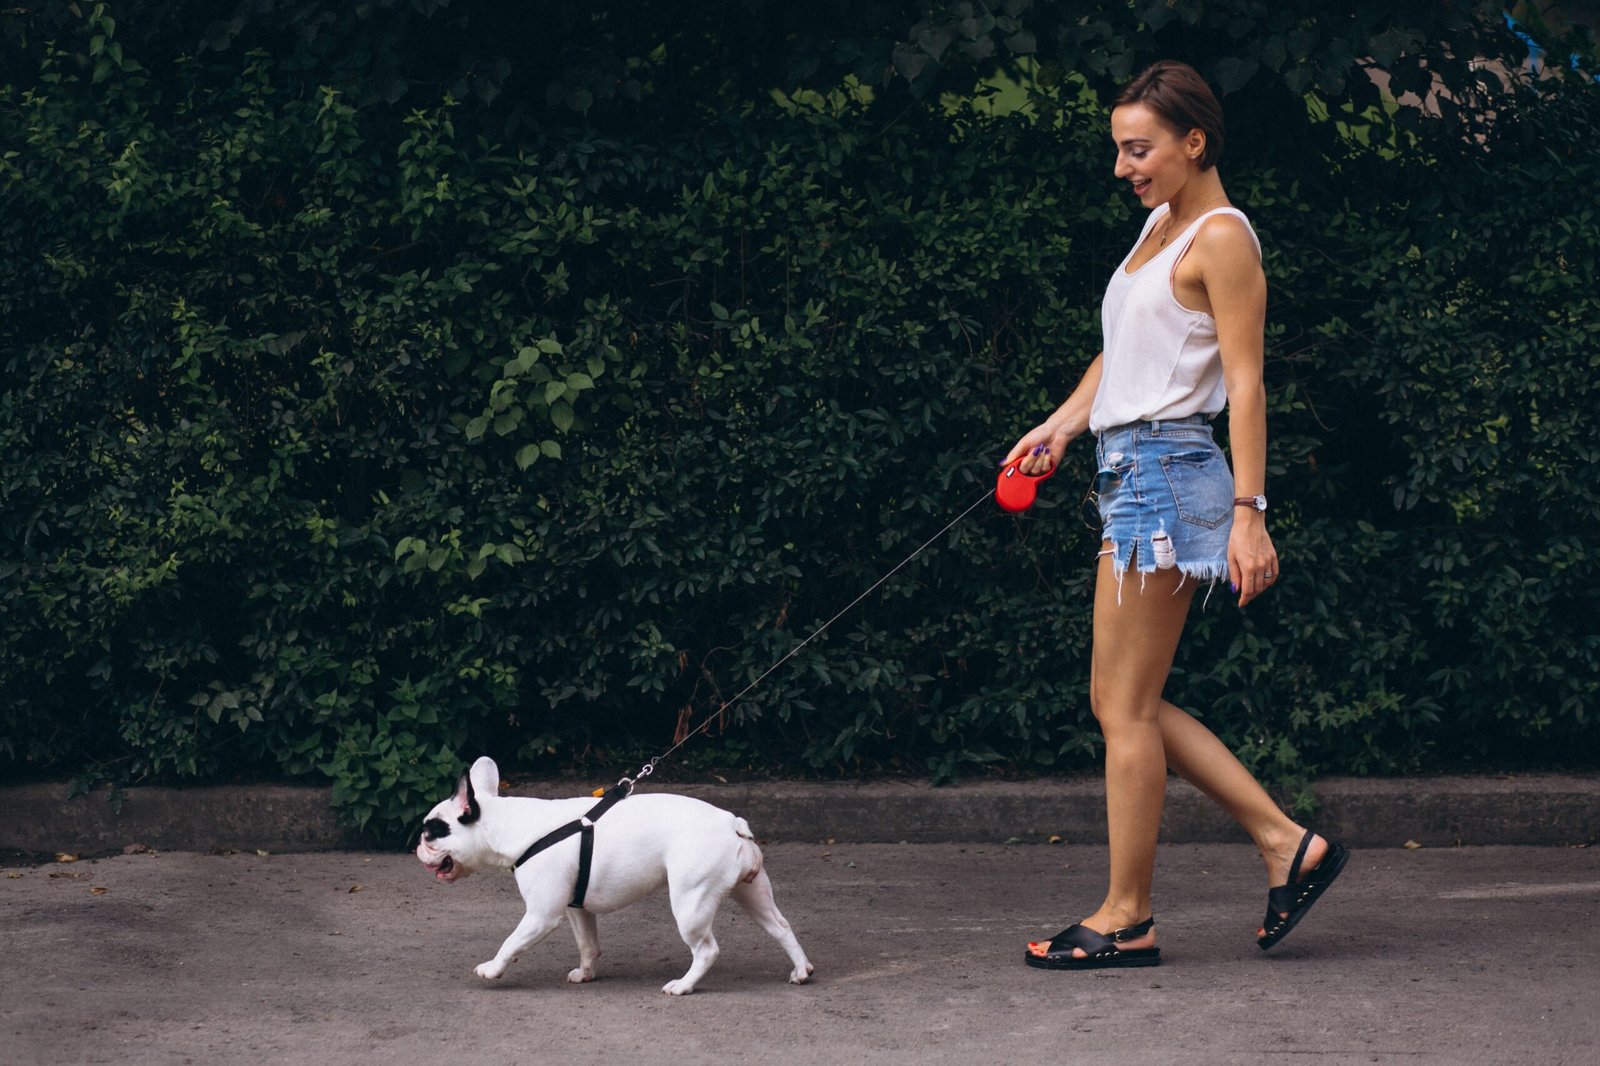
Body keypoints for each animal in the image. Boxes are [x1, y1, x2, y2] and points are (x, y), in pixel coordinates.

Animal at [416, 755, 812, 985]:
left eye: (430, 831)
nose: (417, 845)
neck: (509, 826)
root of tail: (732, 822)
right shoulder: (575, 908)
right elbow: (588, 944)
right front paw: (586, 973)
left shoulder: (541, 915)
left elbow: (511, 941)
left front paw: (492, 969)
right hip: (753, 892)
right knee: (781, 926)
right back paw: (801, 970)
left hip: (690, 903)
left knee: (707, 950)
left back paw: (683, 986)